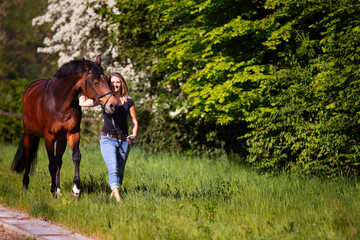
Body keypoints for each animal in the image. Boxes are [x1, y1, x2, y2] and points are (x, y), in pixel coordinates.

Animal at [11, 55, 117, 198]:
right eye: (95, 82)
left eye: (106, 79)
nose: (113, 105)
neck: (60, 102)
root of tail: (29, 90)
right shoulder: (48, 137)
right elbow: (51, 163)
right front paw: (52, 192)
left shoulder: (73, 133)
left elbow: (76, 157)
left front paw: (75, 190)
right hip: (29, 134)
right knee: (28, 157)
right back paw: (25, 186)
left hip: (61, 139)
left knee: (58, 161)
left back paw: (58, 189)